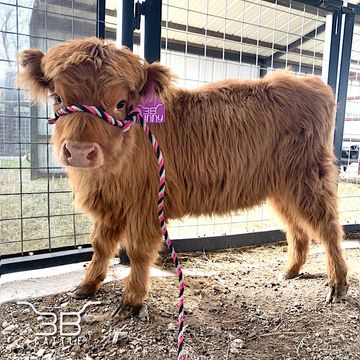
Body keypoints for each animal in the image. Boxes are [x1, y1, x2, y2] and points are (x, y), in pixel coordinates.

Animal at [17, 37, 348, 312]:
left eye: (121, 103)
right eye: (57, 98)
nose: (80, 151)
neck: (107, 174)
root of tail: (311, 81)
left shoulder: (146, 206)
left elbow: (137, 252)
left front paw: (132, 300)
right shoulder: (110, 206)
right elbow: (100, 245)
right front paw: (86, 285)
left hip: (310, 178)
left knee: (328, 228)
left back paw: (338, 284)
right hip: (282, 188)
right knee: (297, 228)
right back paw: (291, 270)